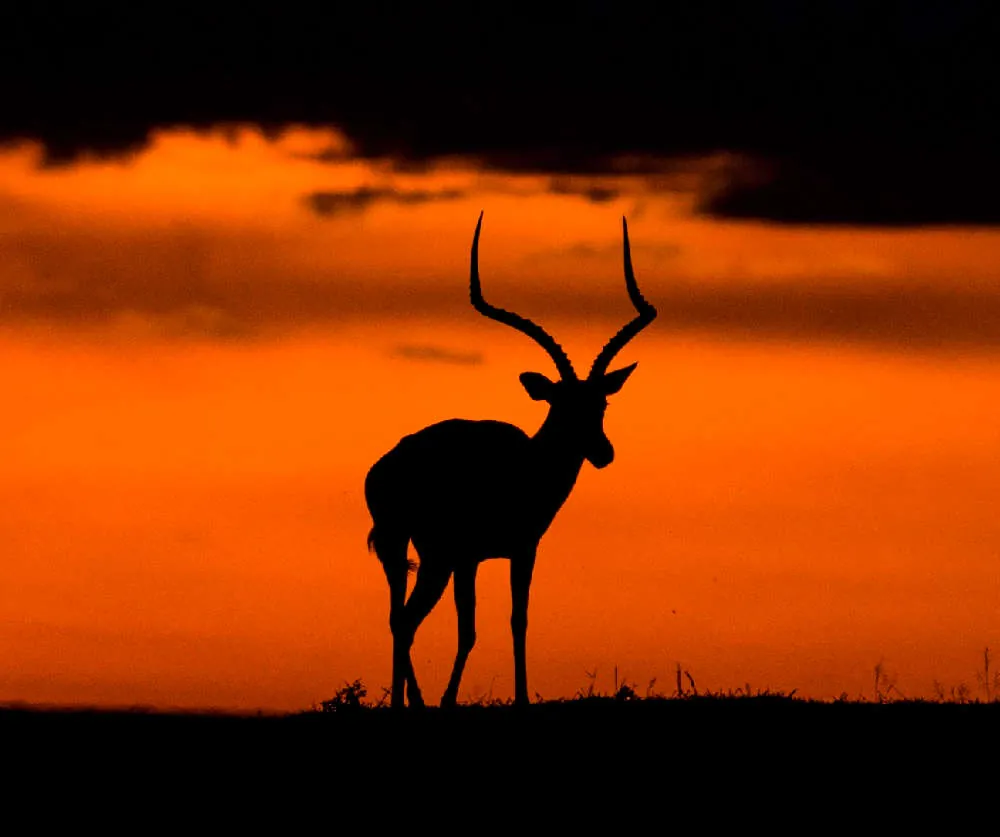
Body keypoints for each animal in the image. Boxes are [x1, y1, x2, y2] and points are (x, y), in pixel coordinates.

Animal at [364, 212, 657, 708]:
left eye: (600, 403)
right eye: (561, 405)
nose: (603, 453)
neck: (528, 465)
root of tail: (387, 466)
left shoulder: (510, 551)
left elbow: (513, 621)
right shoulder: (483, 554)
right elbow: (478, 626)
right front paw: (463, 700)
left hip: (400, 549)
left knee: (396, 617)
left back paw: (407, 703)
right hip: (435, 556)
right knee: (405, 619)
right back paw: (418, 704)